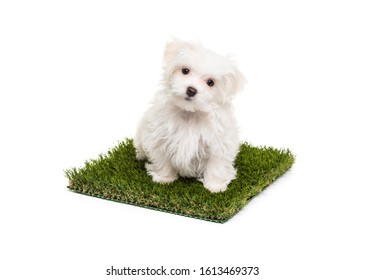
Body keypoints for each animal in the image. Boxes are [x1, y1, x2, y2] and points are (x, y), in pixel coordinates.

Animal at [132, 38, 243, 192]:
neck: (190, 112)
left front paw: (214, 186)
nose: (191, 90)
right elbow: (162, 159)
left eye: (210, 82)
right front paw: (164, 178)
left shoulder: (219, 142)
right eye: (185, 70)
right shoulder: (159, 136)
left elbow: (216, 165)